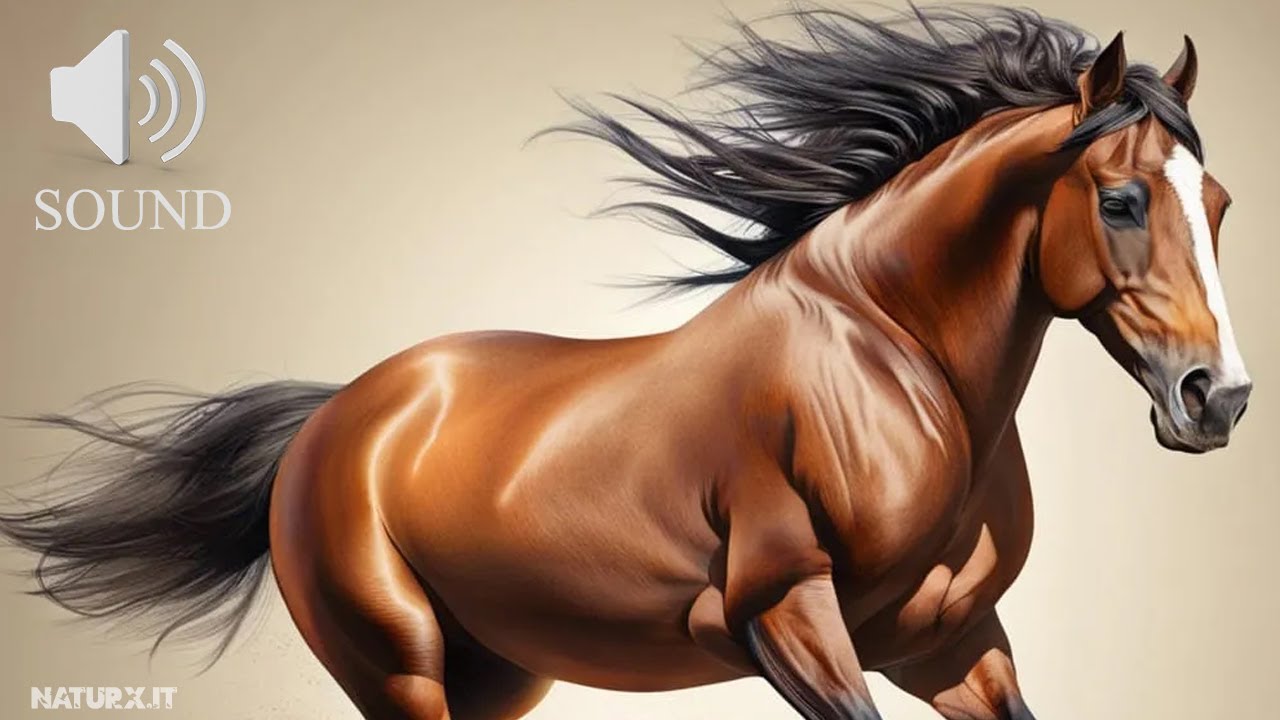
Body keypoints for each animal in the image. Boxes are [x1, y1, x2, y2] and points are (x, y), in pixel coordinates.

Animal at [0, 6, 1253, 720]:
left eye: (1220, 204)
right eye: (1122, 200)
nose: (1218, 399)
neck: (895, 365)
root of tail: (337, 418)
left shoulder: (949, 641)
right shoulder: (786, 618)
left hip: (495, 681)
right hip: (398, 670)